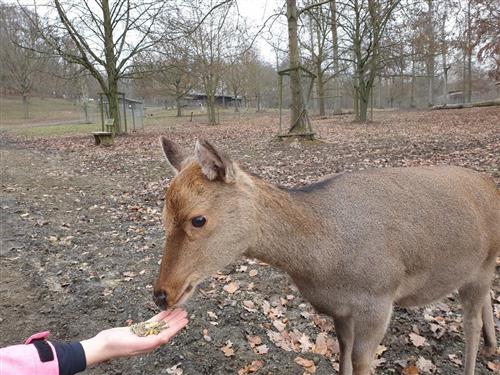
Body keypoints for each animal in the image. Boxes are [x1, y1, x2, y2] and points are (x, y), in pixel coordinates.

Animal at [153, 139, 500, 375]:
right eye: (164, 216)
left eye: (198, 219)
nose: (161, 294)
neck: (324, 262)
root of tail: (491, 184)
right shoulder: (340, 309)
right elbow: (342, 352)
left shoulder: (379, 298)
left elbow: (360, 361)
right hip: (479, 268)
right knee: (486, 298)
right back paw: (491, 345)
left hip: (483, 264)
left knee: (469, 321)